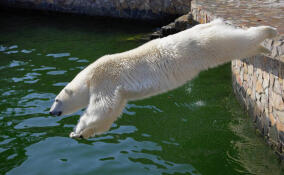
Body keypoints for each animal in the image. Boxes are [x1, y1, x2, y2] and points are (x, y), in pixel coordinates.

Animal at [49, 19, 278, 139]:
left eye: (56, 99)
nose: (51, 112)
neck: (89, 76)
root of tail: (214, 22)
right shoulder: (118, 92)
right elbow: (111, 113)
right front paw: (83, 134)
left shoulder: (106, 79)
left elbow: (102, 108)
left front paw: (76, 130)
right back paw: (264, 48)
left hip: (207, 44)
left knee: (238, 41)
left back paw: (269, 31)